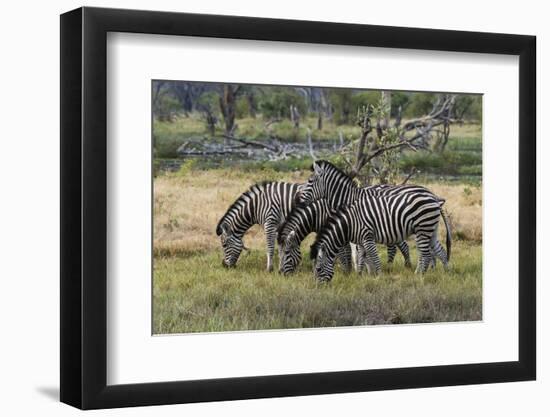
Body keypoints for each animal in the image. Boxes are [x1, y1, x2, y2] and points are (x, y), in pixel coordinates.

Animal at [280, 197, 410, 272]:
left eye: (286, 252)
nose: (281, 273)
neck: (318, 214)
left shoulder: (339, 231)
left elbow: (343, 252)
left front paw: (347, 270)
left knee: (402, 246)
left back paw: (403, 266)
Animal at [298, 159, 452, 266]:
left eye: (310, 181)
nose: (299, 200)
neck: (349, 198)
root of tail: (432, 196)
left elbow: (357, 252)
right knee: (437, 251)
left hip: (421, 227)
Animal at [312, 193, 450, 282]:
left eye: (318, 269)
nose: (318, 287)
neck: (350, 224)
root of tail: (435, 200)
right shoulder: (361, 241)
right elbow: (361, 258)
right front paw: (359, 276)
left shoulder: (368, 237)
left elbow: (374, 258)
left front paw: (379, 276)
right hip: (431, 229)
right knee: (441, 251)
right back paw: (446, 273)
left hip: (423, 229)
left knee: (426, 255)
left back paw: (420, 276)